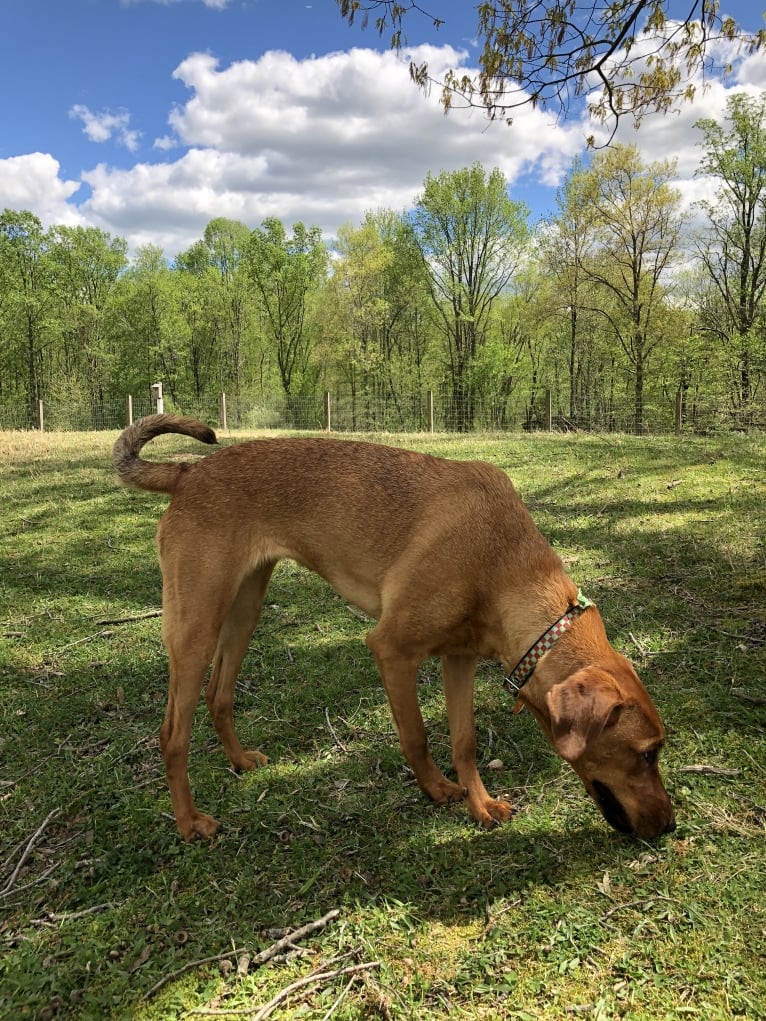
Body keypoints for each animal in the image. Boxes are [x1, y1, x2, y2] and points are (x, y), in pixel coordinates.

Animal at [113, 410, 678, 841]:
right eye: (647, 754)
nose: (671, 826)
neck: (502, 564)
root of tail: (188, 471)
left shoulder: (458, 658)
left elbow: (464, 741)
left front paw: (481, 806)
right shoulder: (392, 650)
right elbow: (418, 736)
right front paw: (437, 790)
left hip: (244, 610)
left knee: (219, 695)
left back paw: (238, 761)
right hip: (195, 626)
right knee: (172, 733)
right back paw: (189, 822)